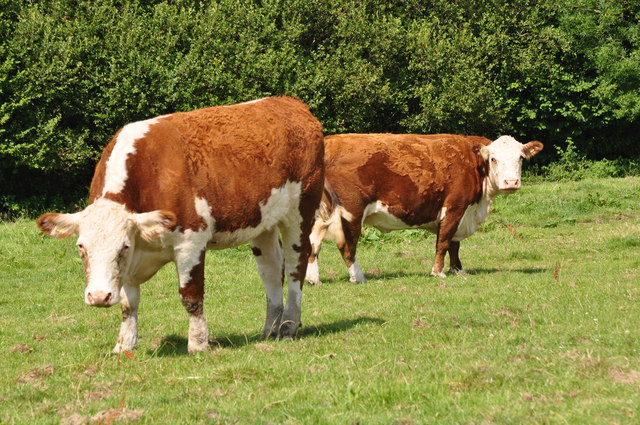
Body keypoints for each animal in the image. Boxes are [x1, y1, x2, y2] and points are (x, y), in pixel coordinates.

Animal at [36, 97, 324, 354]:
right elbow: (129, 304)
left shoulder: (190, 242)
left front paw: (198, 344)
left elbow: (191, 296)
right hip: (263, 223)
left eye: (123, 246)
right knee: (272, 271)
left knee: (296, 266)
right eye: (81, 247)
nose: (98, 296)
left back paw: (288, 326)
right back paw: (269, 329)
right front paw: (124, 345)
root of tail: (291, 103)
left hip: (300, 212)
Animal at [304, 134, 540, 284]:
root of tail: (329, 143)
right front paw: (438, 273)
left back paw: (313, 279)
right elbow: (444, 242)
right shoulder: (455, 207)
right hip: (351, 210)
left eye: (520, 157)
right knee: (347, 246)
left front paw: (458, 270)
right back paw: (359, 277)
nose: (511, 182)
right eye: (493, 159)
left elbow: (454, 245)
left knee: (313, 242)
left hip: (321, 211)